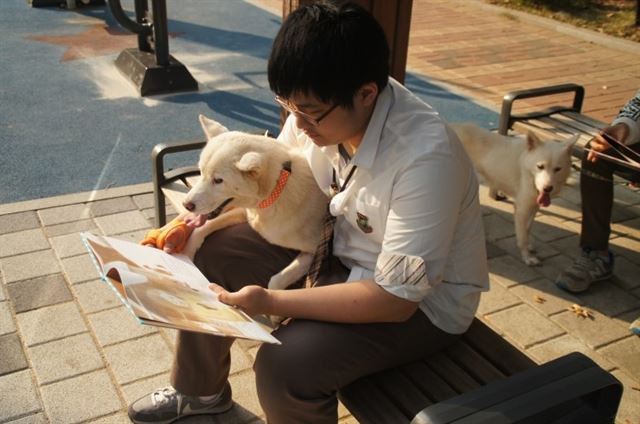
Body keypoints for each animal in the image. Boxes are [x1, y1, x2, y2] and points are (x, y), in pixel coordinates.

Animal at [181, 114, 328, 290]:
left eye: (218, 180)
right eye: (201, 172)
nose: (186, 205)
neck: (274, 193)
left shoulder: (316, 251)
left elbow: (275, 281)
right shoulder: (246, 212)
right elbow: (203, 226)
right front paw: (188, 252)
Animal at [448, 121, 576, 264]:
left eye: (558, 169)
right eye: (540, 167)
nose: (547, 189)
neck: (527, 166)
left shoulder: (533, 206)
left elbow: (527, 229)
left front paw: (529, 246)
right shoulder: (521, 209)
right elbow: (522, 236)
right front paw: (527, 257)